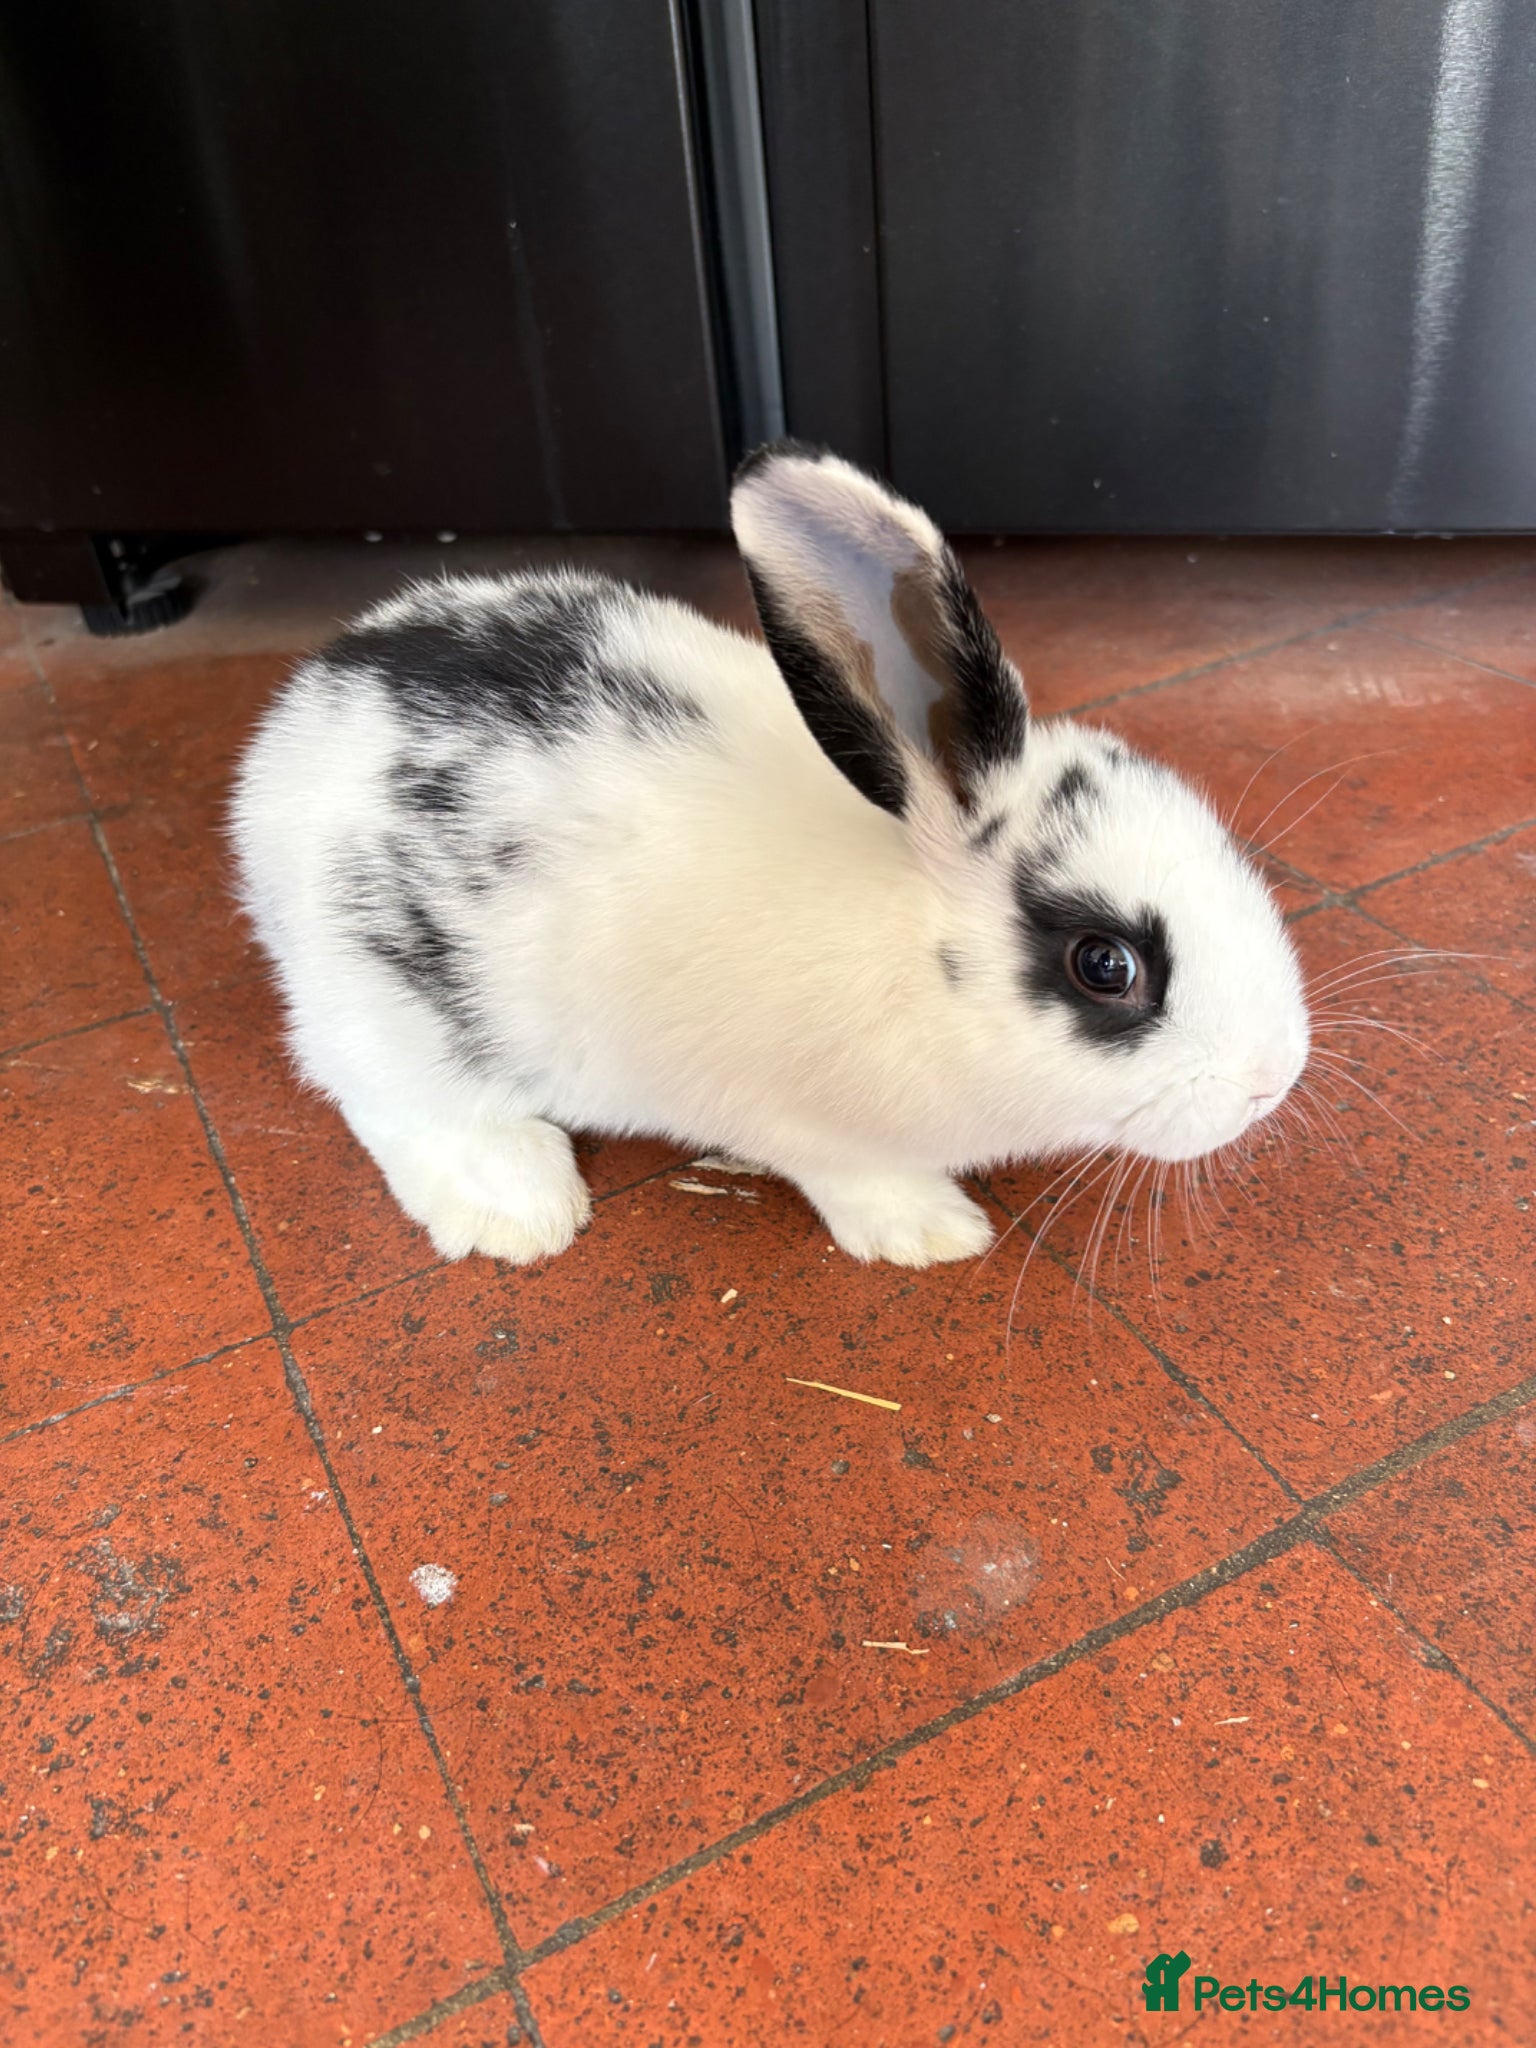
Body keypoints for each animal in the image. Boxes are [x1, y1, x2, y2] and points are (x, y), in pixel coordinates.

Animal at [229, 442, 1310, 1270]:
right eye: (1106, 964)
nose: (1273, 1078)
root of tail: (290, 728)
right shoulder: (802, 1125)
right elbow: (860, 1178)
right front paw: (934, 1233)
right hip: (387, 1009)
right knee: (384, 1099)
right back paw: (519, 1209)